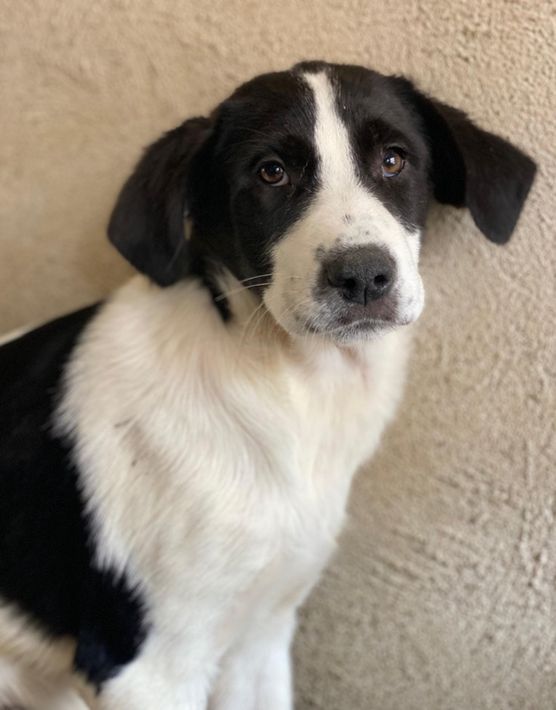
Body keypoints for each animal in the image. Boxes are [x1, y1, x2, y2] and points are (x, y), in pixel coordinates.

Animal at [0, 60, 535, 709]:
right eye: (270, 172)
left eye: (394, 159)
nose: (363, 276)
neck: (292, 395)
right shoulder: (148, 667)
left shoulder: (261, 635)